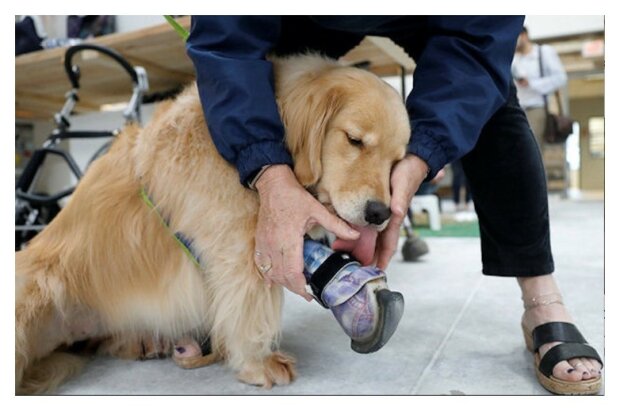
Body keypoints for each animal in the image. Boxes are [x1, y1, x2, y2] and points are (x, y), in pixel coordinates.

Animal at [14, 52, 410, 392]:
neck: (243, 156)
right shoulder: (244, 242)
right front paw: (257, 361)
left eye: (396, 161)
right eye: (354, 140)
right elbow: (252, 305)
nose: (380, 214)